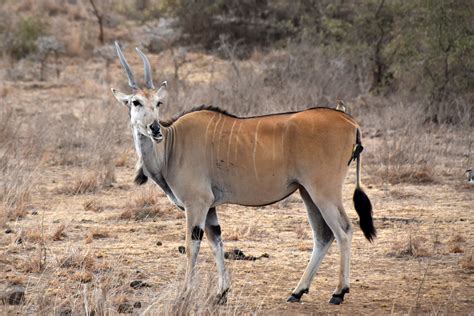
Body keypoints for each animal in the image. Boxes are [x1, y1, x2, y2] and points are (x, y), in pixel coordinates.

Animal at [109, 42, 376, 306]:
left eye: (158, 103)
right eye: (136, 102)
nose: (154, 129)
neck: (172, 144)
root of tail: (349, 120)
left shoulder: (197, 204)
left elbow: (192, 246)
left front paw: (185, 294)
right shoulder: (210, 208)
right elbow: (216, 242)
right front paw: (221, 292)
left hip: (324, 192)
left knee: (344, 230)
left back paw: (339, 292)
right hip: (307, 193)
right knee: (323, 235)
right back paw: (298, 291)